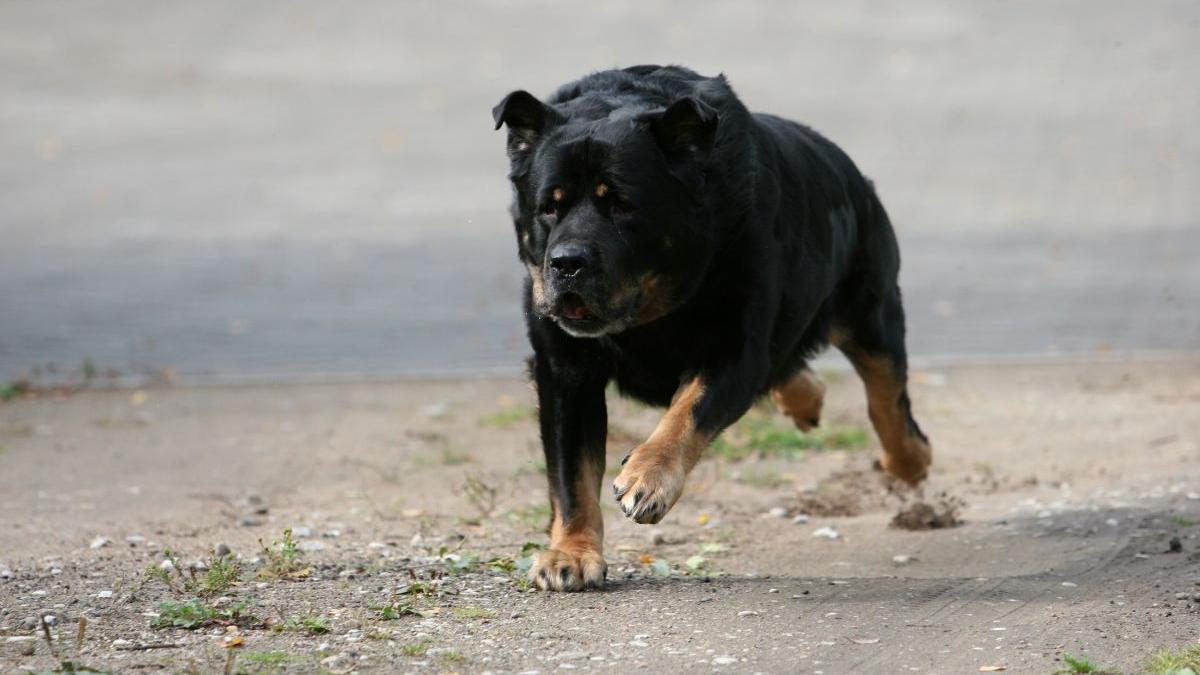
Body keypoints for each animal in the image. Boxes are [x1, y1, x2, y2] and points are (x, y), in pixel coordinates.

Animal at [492, 63, 931, 588]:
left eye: (622, 205)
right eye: (548, 207)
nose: (567, 262)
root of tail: (848, 170)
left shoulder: (734, 348)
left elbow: (687, 412)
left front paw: (649, 477)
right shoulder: (563, 370)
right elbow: (570, 472)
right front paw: (571, 553)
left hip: (871, 309)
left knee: (887, 395)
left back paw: (909, 458)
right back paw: (805, 399)